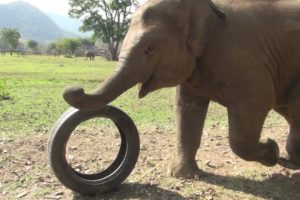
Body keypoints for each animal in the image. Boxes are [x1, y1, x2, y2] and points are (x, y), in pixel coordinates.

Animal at [62, 0, 300, 178]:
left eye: (151, 48)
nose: (75, 89)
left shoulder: (245, 59)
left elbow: (257, 103)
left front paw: (271, 150)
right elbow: (186, 108)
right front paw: (182, 175)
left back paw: (289, 160)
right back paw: (291, 161)